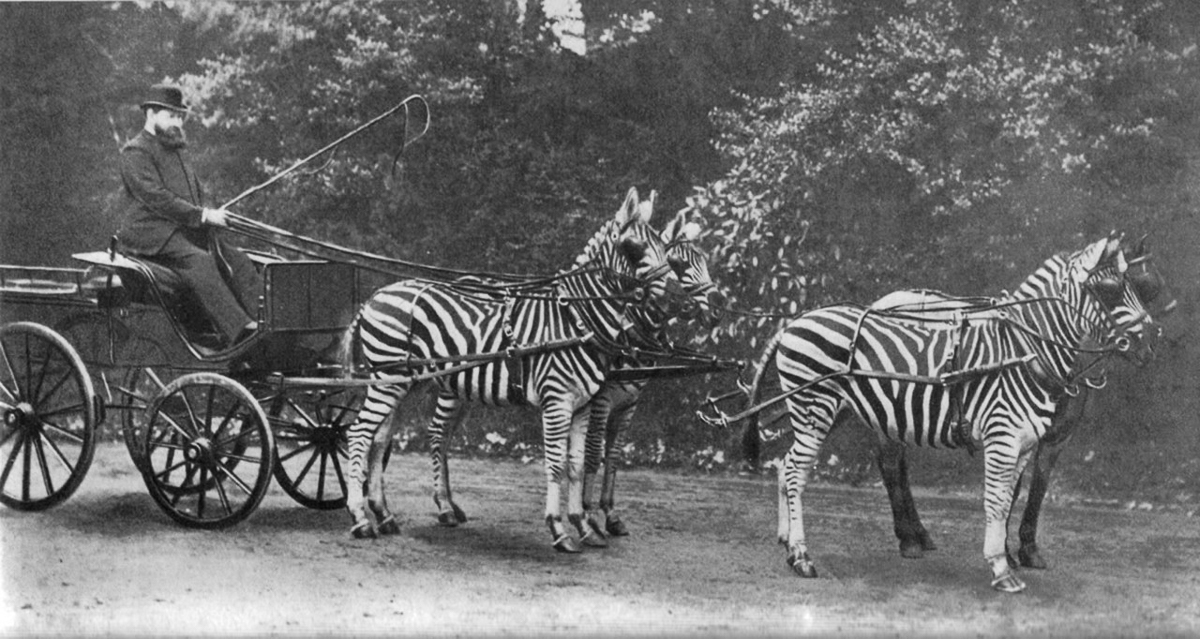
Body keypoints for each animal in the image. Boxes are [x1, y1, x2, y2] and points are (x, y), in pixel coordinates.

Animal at [343, 187, 691, 552]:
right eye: (633, 248)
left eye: (665, 251)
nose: (680, 301)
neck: (576, 320)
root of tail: (375, 296)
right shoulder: (558, 401)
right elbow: (555, 464)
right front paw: (559, 529)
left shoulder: (583, 404)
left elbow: (577, 464)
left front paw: (585, 526)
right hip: (387, 379)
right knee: (359, 434)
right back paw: (361, 518)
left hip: (408, 382)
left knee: (380, 438)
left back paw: (385, 515)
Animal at [744, 235, 1156, 593]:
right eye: (1109, 291)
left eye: (1146, 289)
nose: (1151, 345)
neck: (1026, 351)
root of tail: (796, 320)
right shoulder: (1003, 438)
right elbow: (996, 501)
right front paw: (1001, 568)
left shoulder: (1027, 443)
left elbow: (1012, 498)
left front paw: (1009, 556)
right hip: (815, 407)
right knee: (799, 472)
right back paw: (803, 556)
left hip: (834, 412)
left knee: (786, 463)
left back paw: (788, 542)